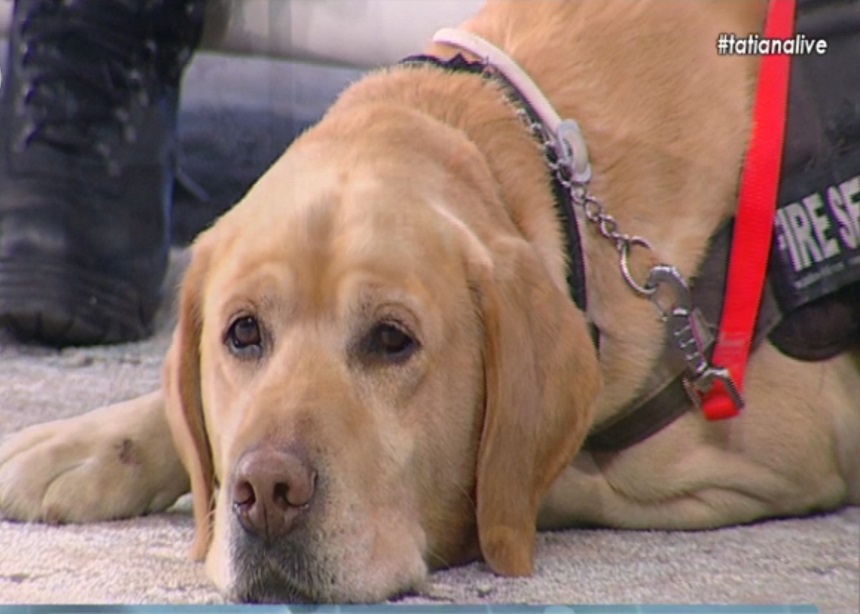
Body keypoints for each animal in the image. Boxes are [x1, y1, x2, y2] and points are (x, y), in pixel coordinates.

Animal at [1, 0, 860, 608]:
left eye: (392, 340)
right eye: (241, 333)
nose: (265, 494)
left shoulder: (782, 449)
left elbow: (534, 486)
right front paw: (74, 446)